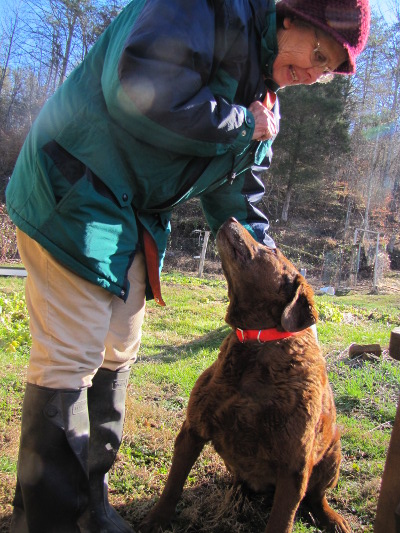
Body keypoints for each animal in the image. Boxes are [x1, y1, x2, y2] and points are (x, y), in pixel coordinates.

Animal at [140, 217, 350, 532]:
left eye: (272, 250)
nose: (232, 218)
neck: (255, 347)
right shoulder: (192, 429)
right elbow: (173, 486)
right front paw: (155, 520)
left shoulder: (294, 465)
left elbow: (281, 521)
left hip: (334, 452)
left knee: (316, 497)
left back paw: (333, 519)